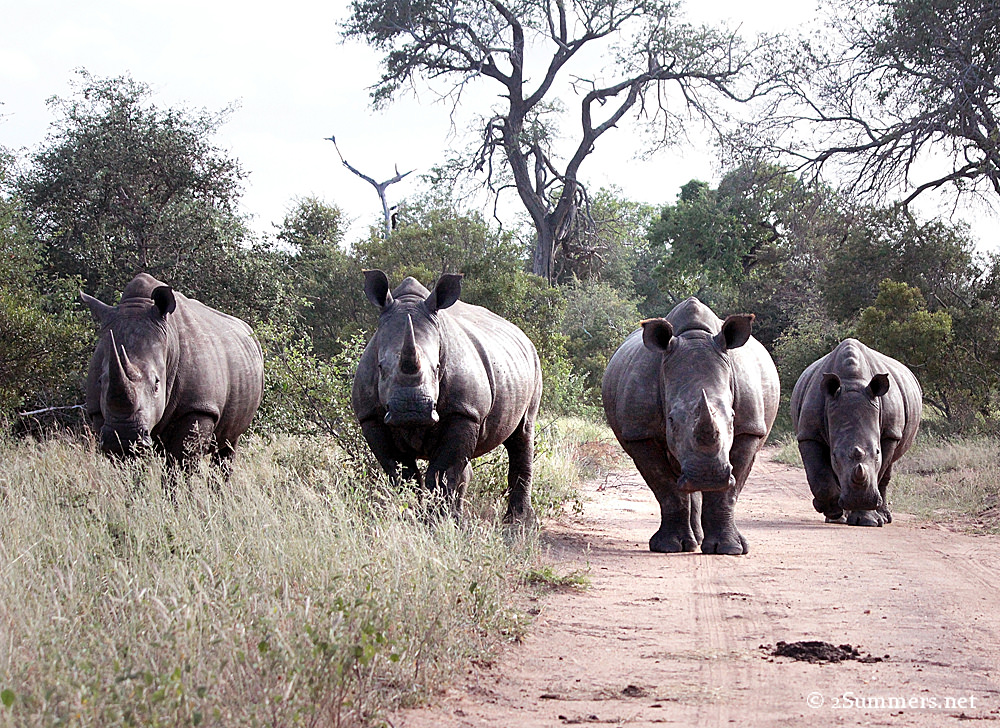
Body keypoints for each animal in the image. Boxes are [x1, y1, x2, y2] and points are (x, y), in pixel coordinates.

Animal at [81, 273, 264, 466]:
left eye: (156, 384)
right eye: (100, 381)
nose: (123, 438)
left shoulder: (198, 406)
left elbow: (181, 462)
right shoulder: (98, 412)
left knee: (229, 444)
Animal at [352, 271, 542, 523]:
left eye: (437, 367)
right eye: (381, 367)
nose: (411, 411)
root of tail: (523, 336)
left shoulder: (463, 411)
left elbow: (441, 472)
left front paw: (437, 522)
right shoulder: (370, 417)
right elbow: (402, 474)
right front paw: (413, 517)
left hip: (534, 363)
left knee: (522, 434)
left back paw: (517, 523)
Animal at [602, 298, 779, 555]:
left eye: (732, 417)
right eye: (671, 420)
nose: (708, 476)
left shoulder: (750, 428)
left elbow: (730, 491)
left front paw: (730, 549)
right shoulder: (640, 433)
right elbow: (666, 487)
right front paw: (668, 547)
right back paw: (692, 540)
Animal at [790, 338, 922, 527]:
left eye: (877, 452)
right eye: (835, 456)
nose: (859, 499)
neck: (853, 381)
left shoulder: (890, 433)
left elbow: (879, 471)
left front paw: (867, 520)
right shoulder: (809, 433)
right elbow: (819, 475)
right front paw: (832, 508)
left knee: (887, 470)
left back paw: (883, 517)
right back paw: (837, 518)